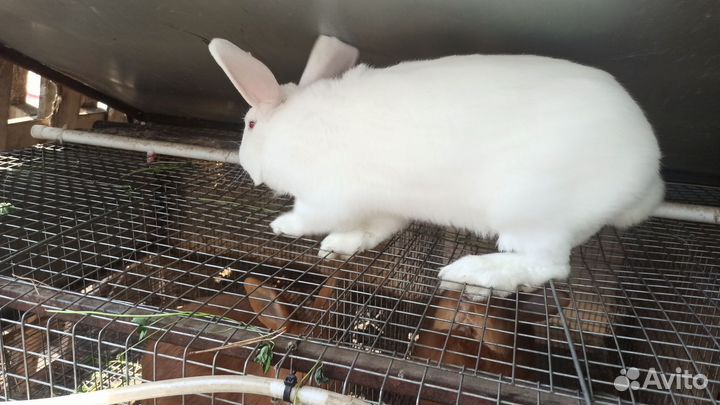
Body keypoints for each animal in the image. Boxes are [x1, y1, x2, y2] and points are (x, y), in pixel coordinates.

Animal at [208, 36, 663, 299]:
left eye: (250, 125)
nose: (244, 162)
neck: (294, 128)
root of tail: (647, 170)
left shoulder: (326, 196)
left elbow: (310, 217)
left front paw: (283, 226)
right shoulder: (385, 206)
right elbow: (374, 228)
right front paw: (339, 245)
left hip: (530, 213)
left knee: (549, 264)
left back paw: (470, 275)